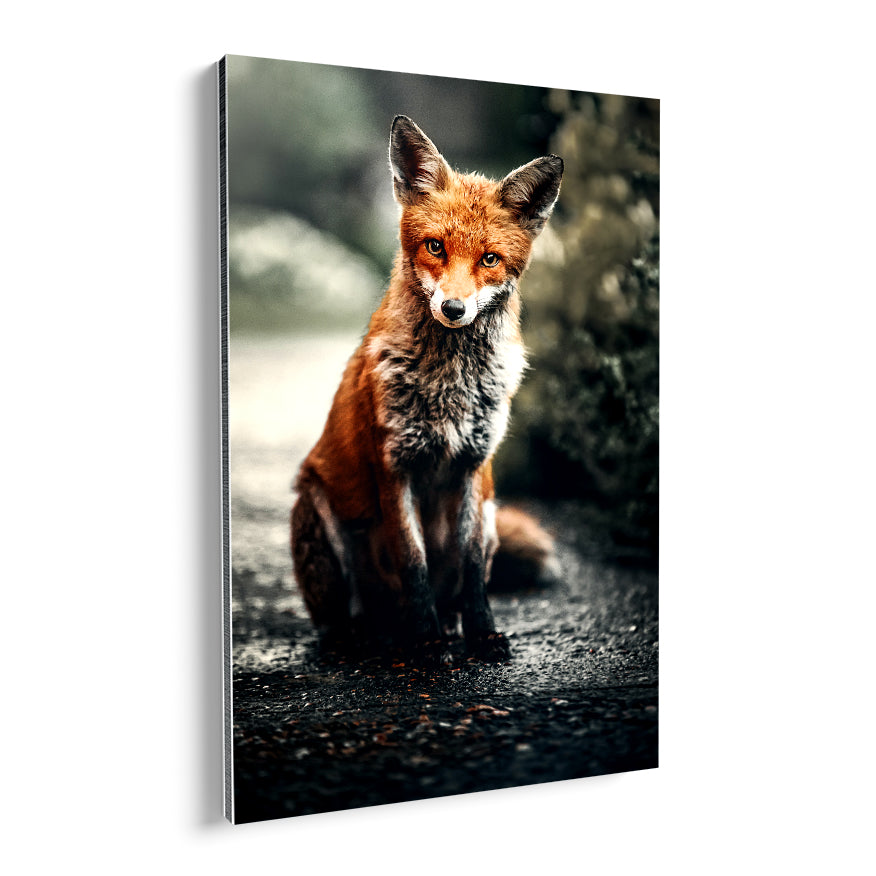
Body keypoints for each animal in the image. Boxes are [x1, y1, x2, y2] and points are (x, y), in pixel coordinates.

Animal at [290, 115, 563, 661]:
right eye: (435, 246)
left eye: (490, 259)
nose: (454, 309)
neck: (449, 385)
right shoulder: (395, 467)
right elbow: (413, 562)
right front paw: (430, 643)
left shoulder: (475, 468)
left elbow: (473, 569)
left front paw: (481, 634)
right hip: (315, 508)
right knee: (344, 618)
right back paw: (368, 637)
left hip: (492, 510)